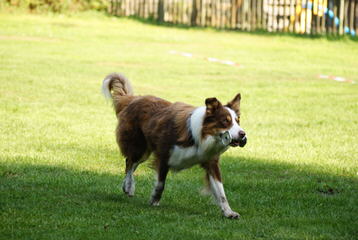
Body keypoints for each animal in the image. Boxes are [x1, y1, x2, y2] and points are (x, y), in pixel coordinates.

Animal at [100, 73, 246, 219]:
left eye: (237, 121)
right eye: (225, 121)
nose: (243, 134)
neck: (199, 136)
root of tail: (133, 99)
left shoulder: (211, 162)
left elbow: (221, 192)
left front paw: (228, 212)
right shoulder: (164, 156)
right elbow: (160, 184)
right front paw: (154, 200)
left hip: (144, 150)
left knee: (131, 163)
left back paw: (128, 187)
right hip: (139, 148)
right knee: (129, 163)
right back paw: (128, 187)